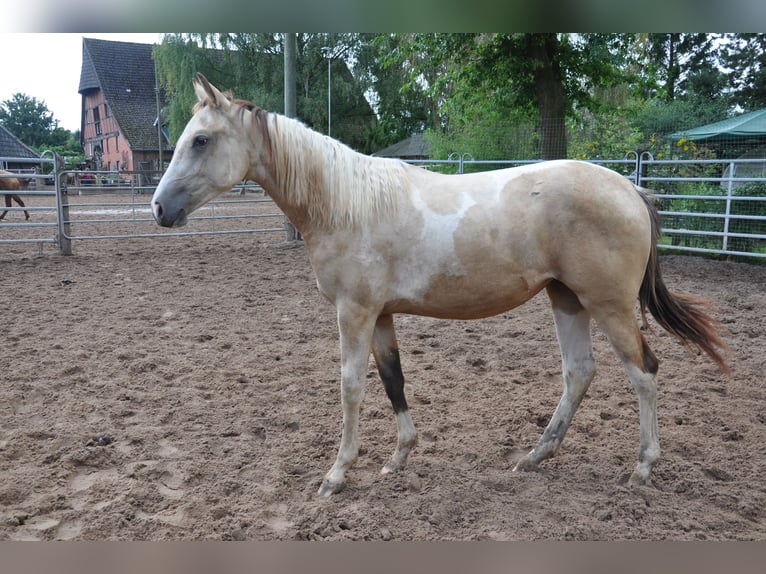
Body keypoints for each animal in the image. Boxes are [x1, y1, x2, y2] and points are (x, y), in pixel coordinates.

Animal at [152, 74, 732, 500]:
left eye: (201, 140)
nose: (159, 208)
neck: (344, 204)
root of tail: (631, 190)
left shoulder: (354, 312)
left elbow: (351, 386)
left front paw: (337, 474)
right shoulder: (381, 315)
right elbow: (393, 380)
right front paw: (398, 457)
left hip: (608, 305)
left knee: (643, 373)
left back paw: (642, 468)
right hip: (566, 299)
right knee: (579, 372)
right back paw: (534, 457)